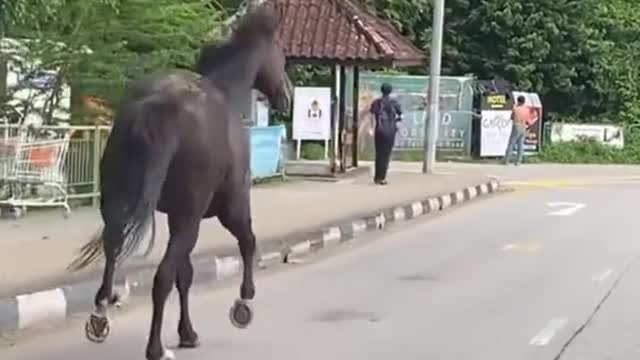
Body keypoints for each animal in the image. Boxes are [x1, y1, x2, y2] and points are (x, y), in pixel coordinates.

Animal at [67, 5, 290, 360]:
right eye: (281, 52)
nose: (286, 95)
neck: (226, 91)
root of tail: (155, 108)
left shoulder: (176, 215)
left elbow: (186, 275)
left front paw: (187, 333)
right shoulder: (229, 208)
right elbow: (247, 243)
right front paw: (243, 304)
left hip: (119, 205)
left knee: (114, 253)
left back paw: (100, 318)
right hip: (193, 217)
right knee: (162, 277)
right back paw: (155, 347)